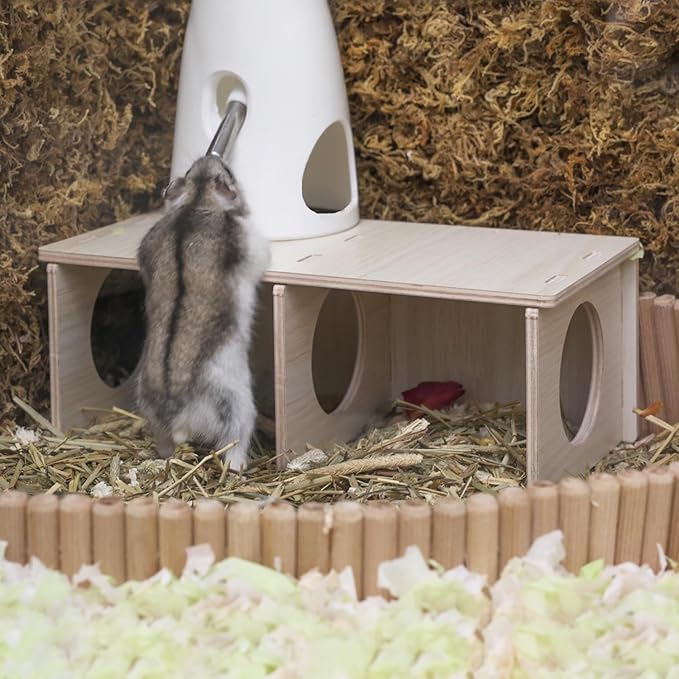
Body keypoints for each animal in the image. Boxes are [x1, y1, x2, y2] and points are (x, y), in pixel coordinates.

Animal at [136, 155, 270, 471]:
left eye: (187, 169)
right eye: (229, 173)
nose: (211, 156)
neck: (197, 201)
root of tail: (176, 417)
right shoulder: (250, 244)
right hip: (237, 407)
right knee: (233, 446)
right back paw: (238, 467)